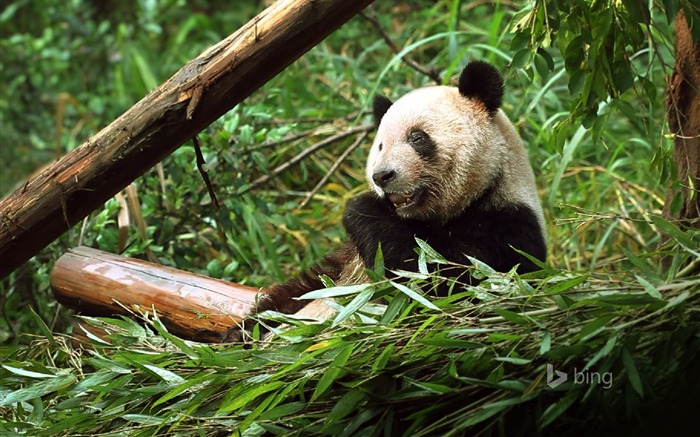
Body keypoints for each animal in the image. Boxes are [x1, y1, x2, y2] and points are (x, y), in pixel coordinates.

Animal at [224, 60, 548, 340]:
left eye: (417, 137)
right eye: (380, 146)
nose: (382, 176)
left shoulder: (507, 228)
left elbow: (441, 285)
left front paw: (361, 208)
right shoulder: (345, 259)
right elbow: (299, 290)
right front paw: (240, 332)